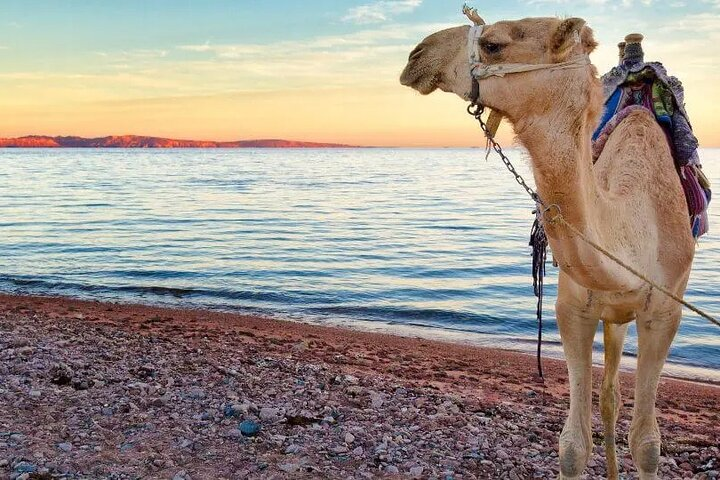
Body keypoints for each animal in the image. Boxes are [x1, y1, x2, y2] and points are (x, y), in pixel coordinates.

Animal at [400, 12, 695, 480]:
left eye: (494, 44)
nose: (416, 56)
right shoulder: (572, 308)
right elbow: (573, 445)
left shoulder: (665, 312)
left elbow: (647, 444)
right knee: (609, 395)